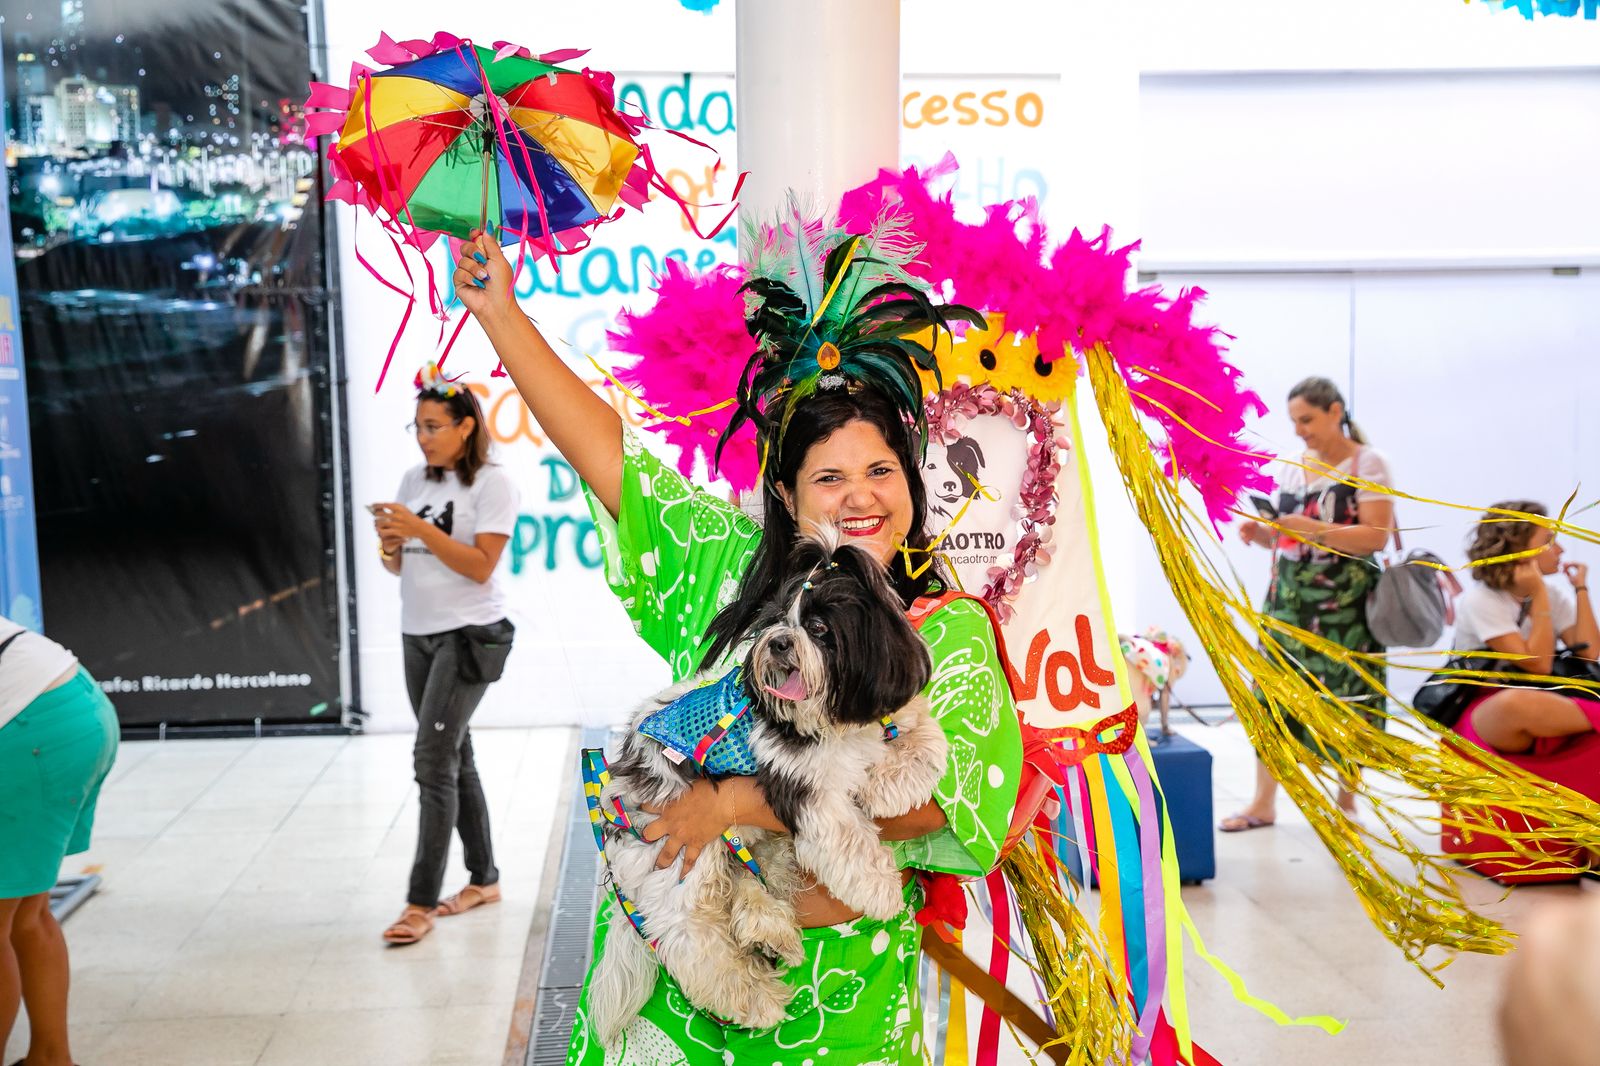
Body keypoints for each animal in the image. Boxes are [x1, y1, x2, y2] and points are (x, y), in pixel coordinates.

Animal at [588, 528, 947, 1043]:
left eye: (818, 628)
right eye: (776, 620)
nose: (778, 642)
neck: (832, 718)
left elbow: (922, 735)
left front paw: (895, 777)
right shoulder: (801, 788)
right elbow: (848, 840)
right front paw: (880, 889)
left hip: (750, 849)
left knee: (751, 888)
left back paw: (771, 932)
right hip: (681, 861)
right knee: (693, 941)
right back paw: (755, 997)